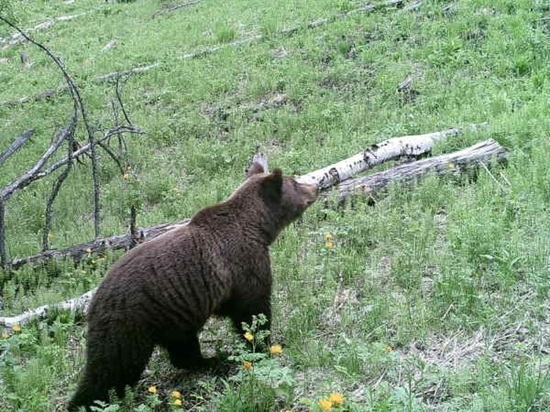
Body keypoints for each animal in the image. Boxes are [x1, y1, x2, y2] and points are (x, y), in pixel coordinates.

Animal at [68, 163, 320, 410]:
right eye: (295, 182)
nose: (315, 186)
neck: (257, 227)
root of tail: (94, 301)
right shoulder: (243, 263)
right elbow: (252, 309)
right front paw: (264, 344)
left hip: (172, 315)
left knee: (181, 347)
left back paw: (209, 360)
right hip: (132, 321)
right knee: (114, 366)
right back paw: (84, 402)